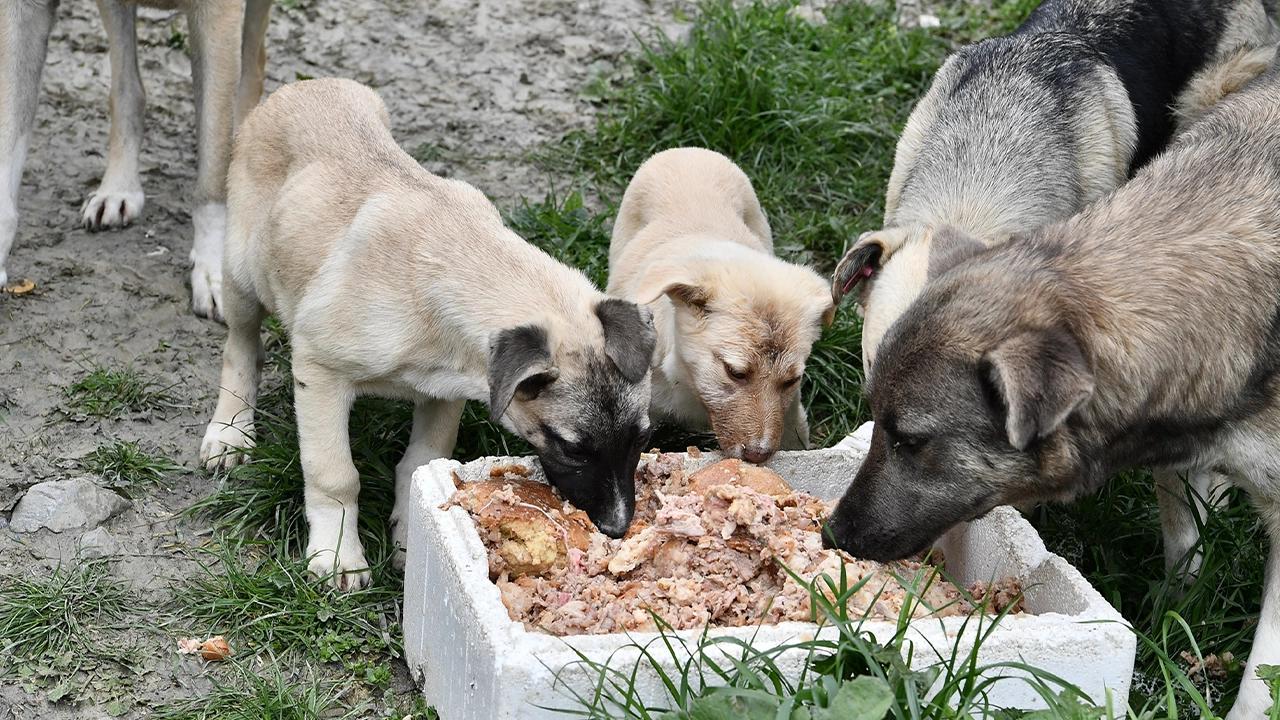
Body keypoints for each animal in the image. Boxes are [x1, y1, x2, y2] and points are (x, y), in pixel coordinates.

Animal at [202, 78, 660, 586]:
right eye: (572, 449)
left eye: (643, 439)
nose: (618, 527)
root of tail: (306, 85)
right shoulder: (319, 372)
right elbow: (335, 475)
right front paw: (338, 556)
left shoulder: (446, 390)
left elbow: (421, 461)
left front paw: (413, 535)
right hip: (242, 276)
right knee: (241, 348)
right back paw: (229, 431)